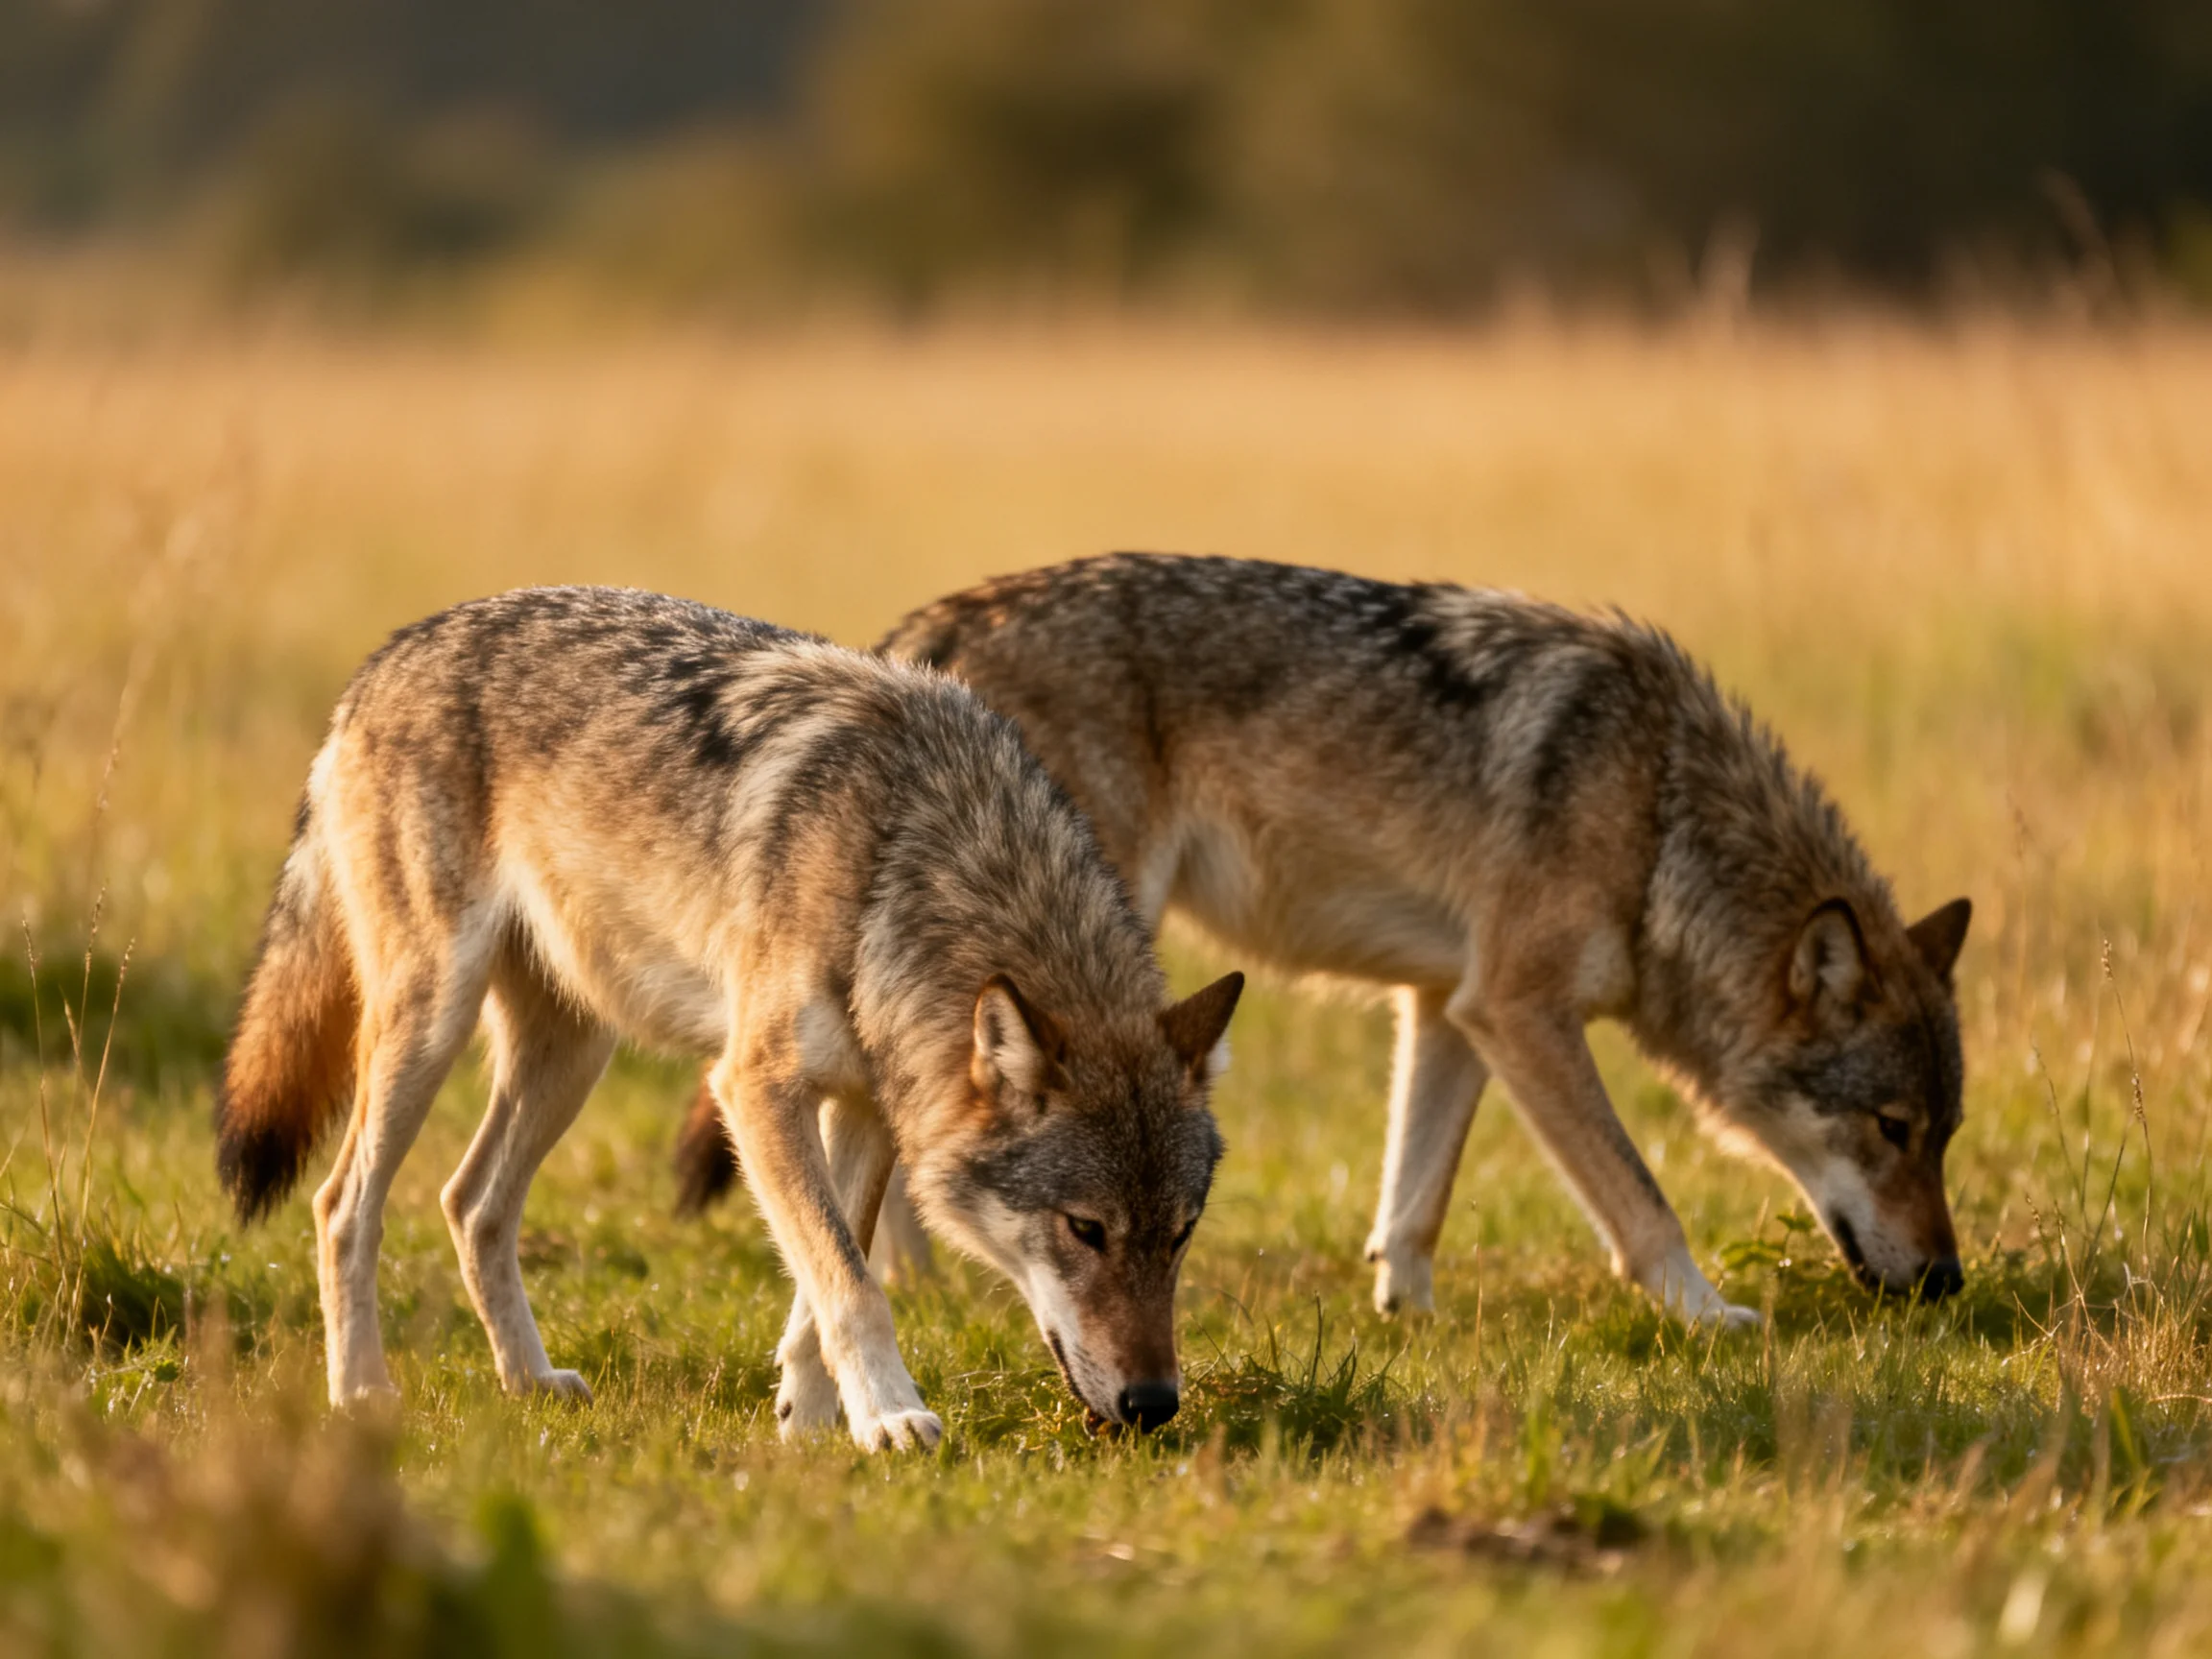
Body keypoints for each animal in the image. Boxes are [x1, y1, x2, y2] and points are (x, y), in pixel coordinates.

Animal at [215, 587, 1244, 1449]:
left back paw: (530, 1382)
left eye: (1182, 1233)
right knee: (343, 1204)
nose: (1155, 1405)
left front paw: (813, 1417)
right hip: (430, 1025)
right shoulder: (754, 1086)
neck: (921, 856)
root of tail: (390, 652)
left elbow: (829, 1272)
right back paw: (361, 1394)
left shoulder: (866, 1106)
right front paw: (892, 1417)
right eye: (1086, 1230)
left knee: (470, 1204)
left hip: (570, 1058)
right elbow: (852, 1283)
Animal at [676, 555, 1972, 1326]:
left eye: (1944, 1136)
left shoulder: (1453, 1009)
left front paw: (1408, 1315)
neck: (1663, 809)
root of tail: (931, 627)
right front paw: (1707, 1315)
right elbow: (1642, 1199)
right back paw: (919, 1281)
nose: (1950, 1282)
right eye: (1891, 1128)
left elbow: (1414, 1200)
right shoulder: (1521, 1010)